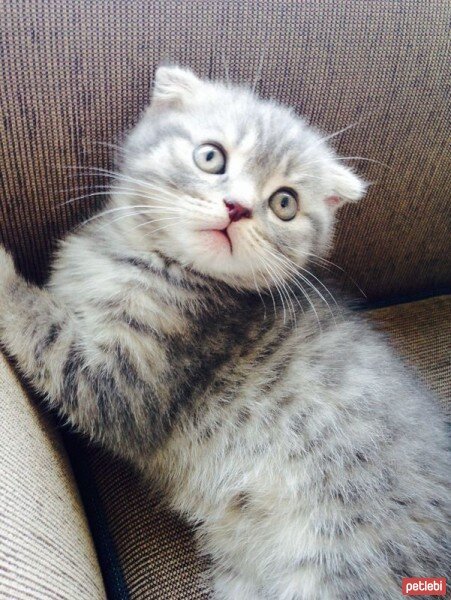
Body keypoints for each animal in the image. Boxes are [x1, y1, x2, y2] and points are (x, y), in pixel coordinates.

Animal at [0, 67, 451, 600]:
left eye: (284, 203)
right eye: (211, 156)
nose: (237, 208)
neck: (144, 258)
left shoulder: (126, 386)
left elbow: (46, 330)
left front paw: (3, 276)